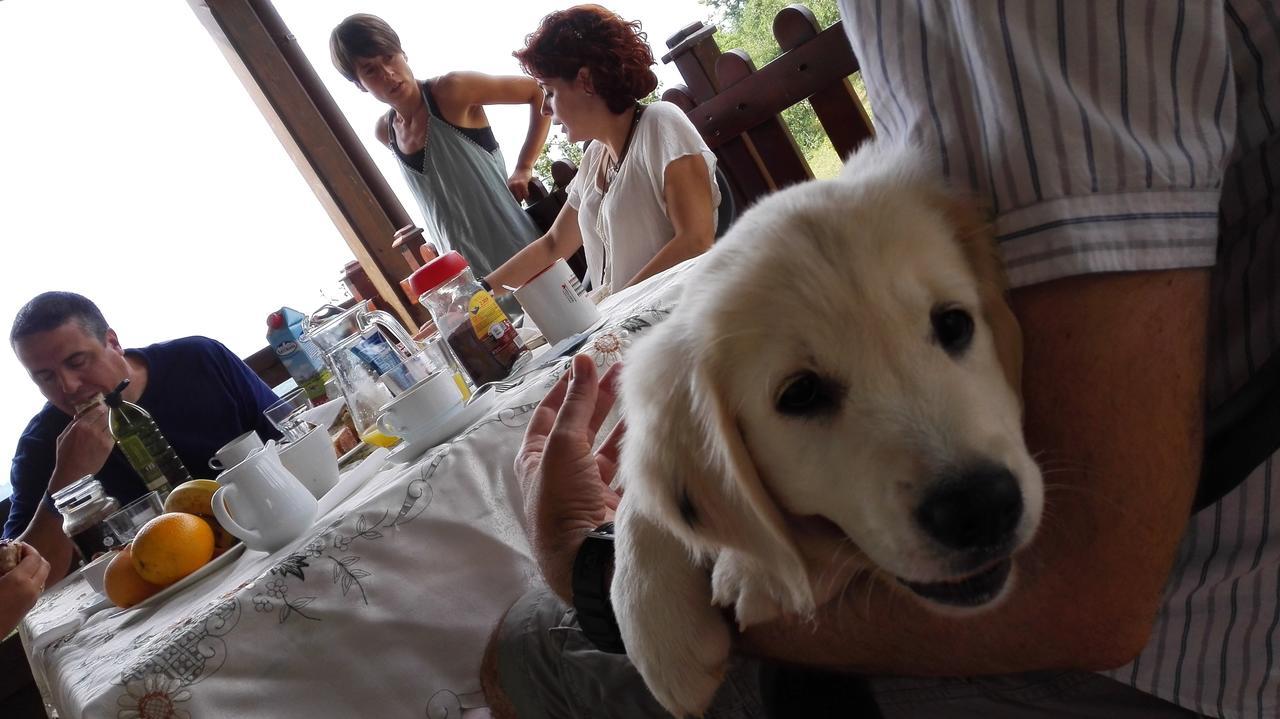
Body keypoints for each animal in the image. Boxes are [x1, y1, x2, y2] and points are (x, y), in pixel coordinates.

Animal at [614, 140, 1044, 711]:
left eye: (954, 323)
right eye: (800, 394)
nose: (981, 508)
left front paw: (754, 574)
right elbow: (636, 498)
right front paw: (656, 624)